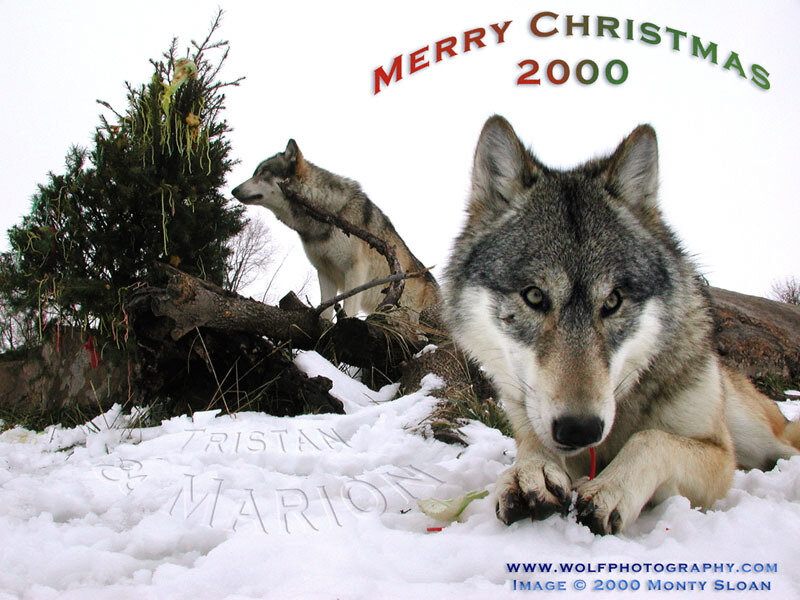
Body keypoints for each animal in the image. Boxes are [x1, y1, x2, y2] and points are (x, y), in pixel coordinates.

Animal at [232, 139, 439, 319]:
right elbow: (325, 308)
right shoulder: (325, 273)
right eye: (255, 173)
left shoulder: (355, 270)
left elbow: (349, 306)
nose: (233, 190)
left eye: (262, 173)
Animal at [443, 115, 800, 534]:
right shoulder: (528, 416)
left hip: (756, 435)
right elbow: (532, 443)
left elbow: (650, 438)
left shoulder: (719, 455)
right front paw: (530, 472)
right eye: (534, 296)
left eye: (612, 301)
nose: (580, 429)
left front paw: (612, 488)